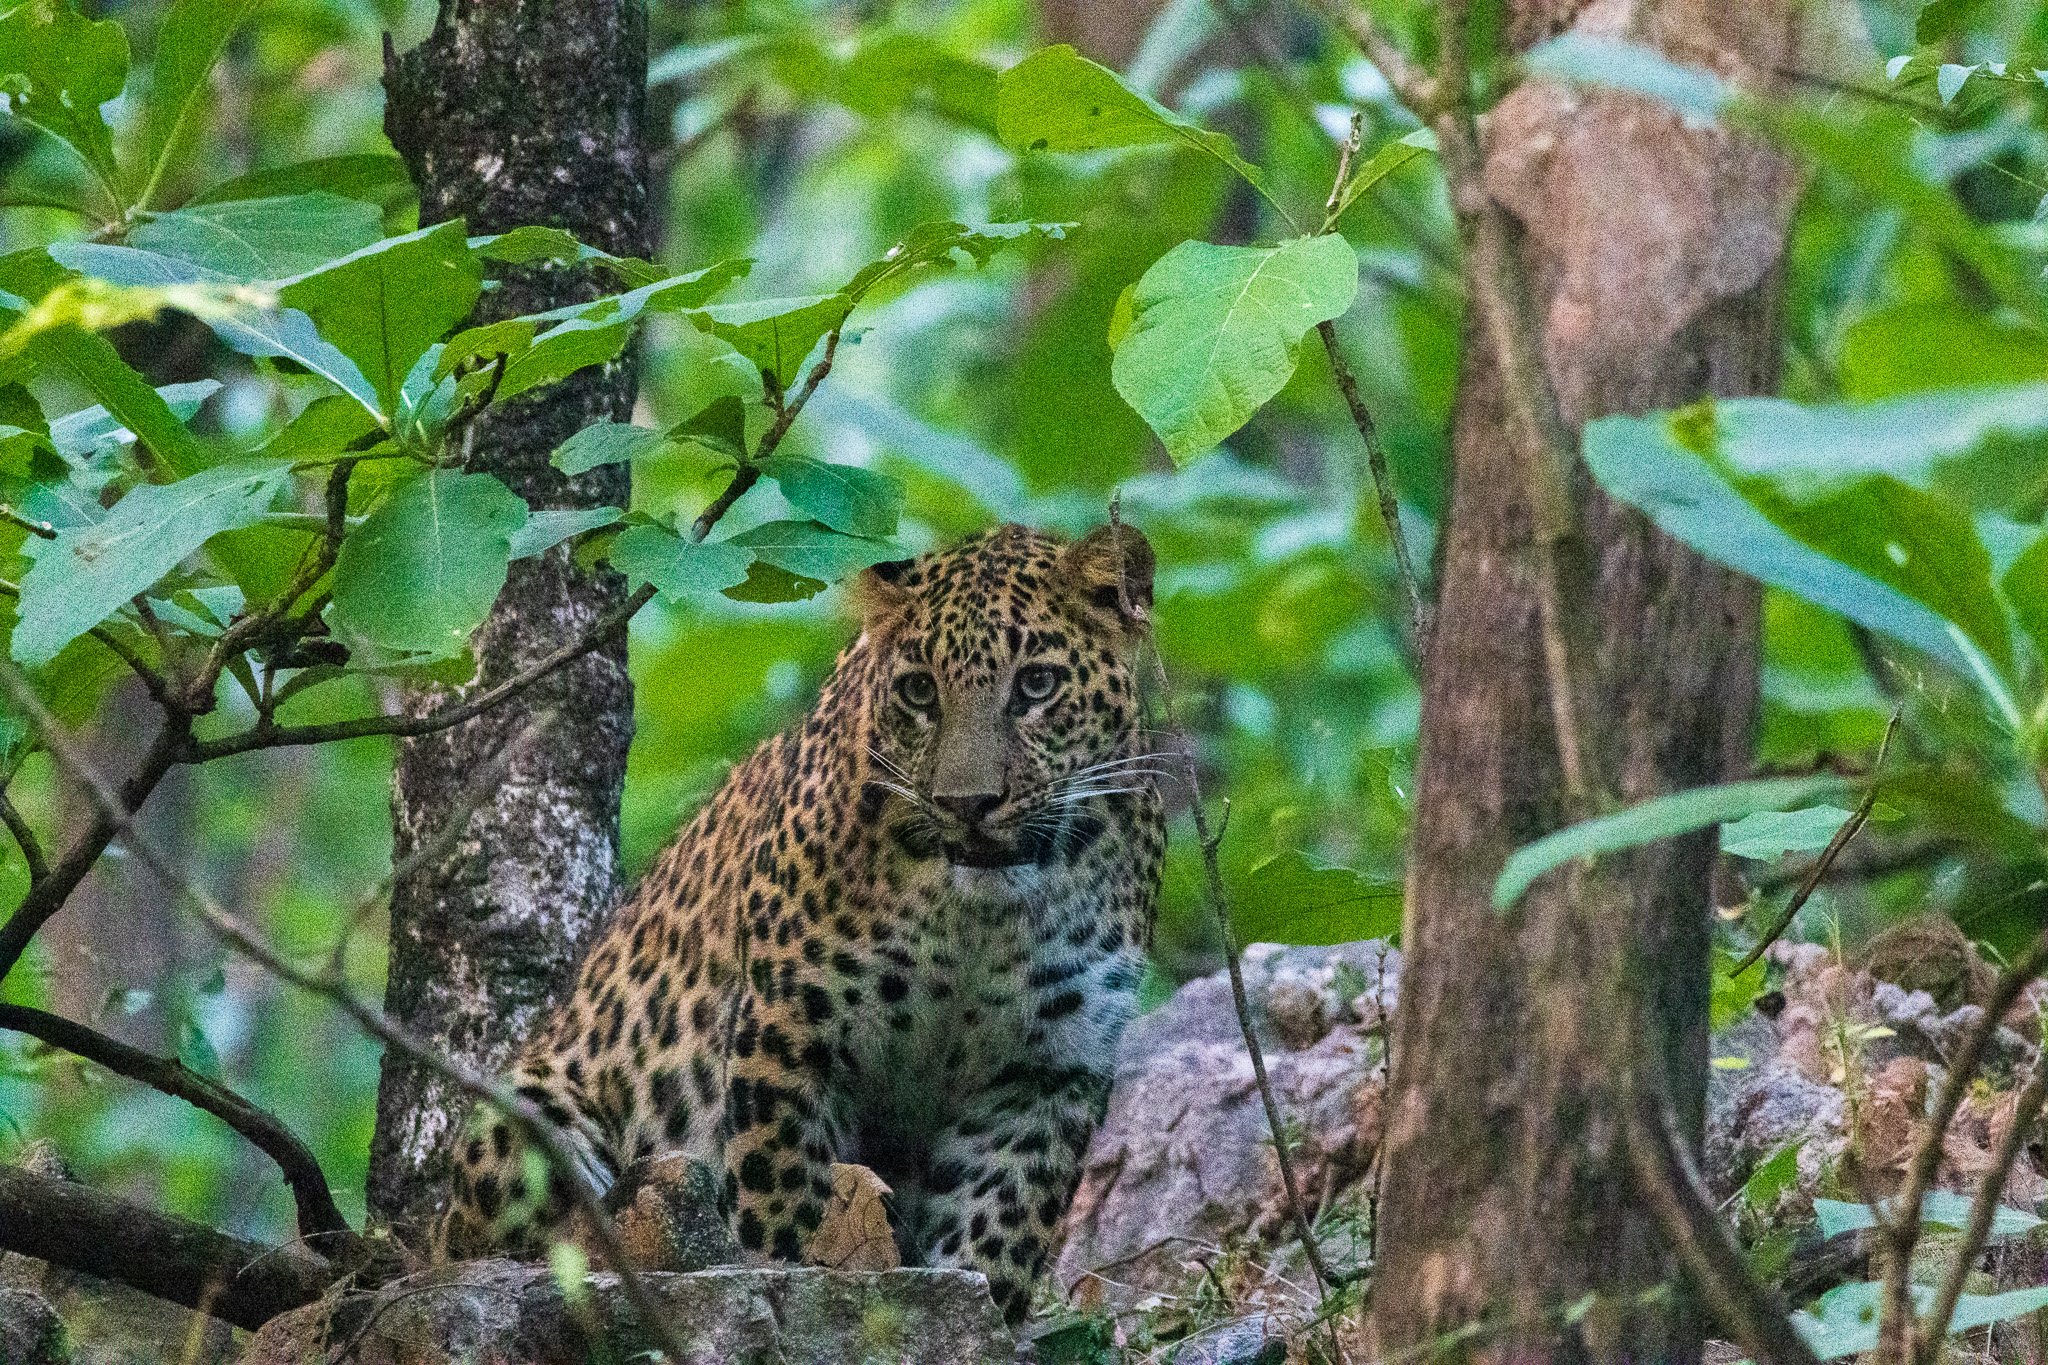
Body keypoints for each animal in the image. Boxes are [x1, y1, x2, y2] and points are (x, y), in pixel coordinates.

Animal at [446, 517, 1171, 1317]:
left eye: (1037, 684)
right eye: (920, 690)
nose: (967, 805)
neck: (977, 922)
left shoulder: (1045, 1075)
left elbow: (994, 1235)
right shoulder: (790, 1029)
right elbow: (784, 1196)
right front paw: (790, 1286)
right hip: (524, 1120)